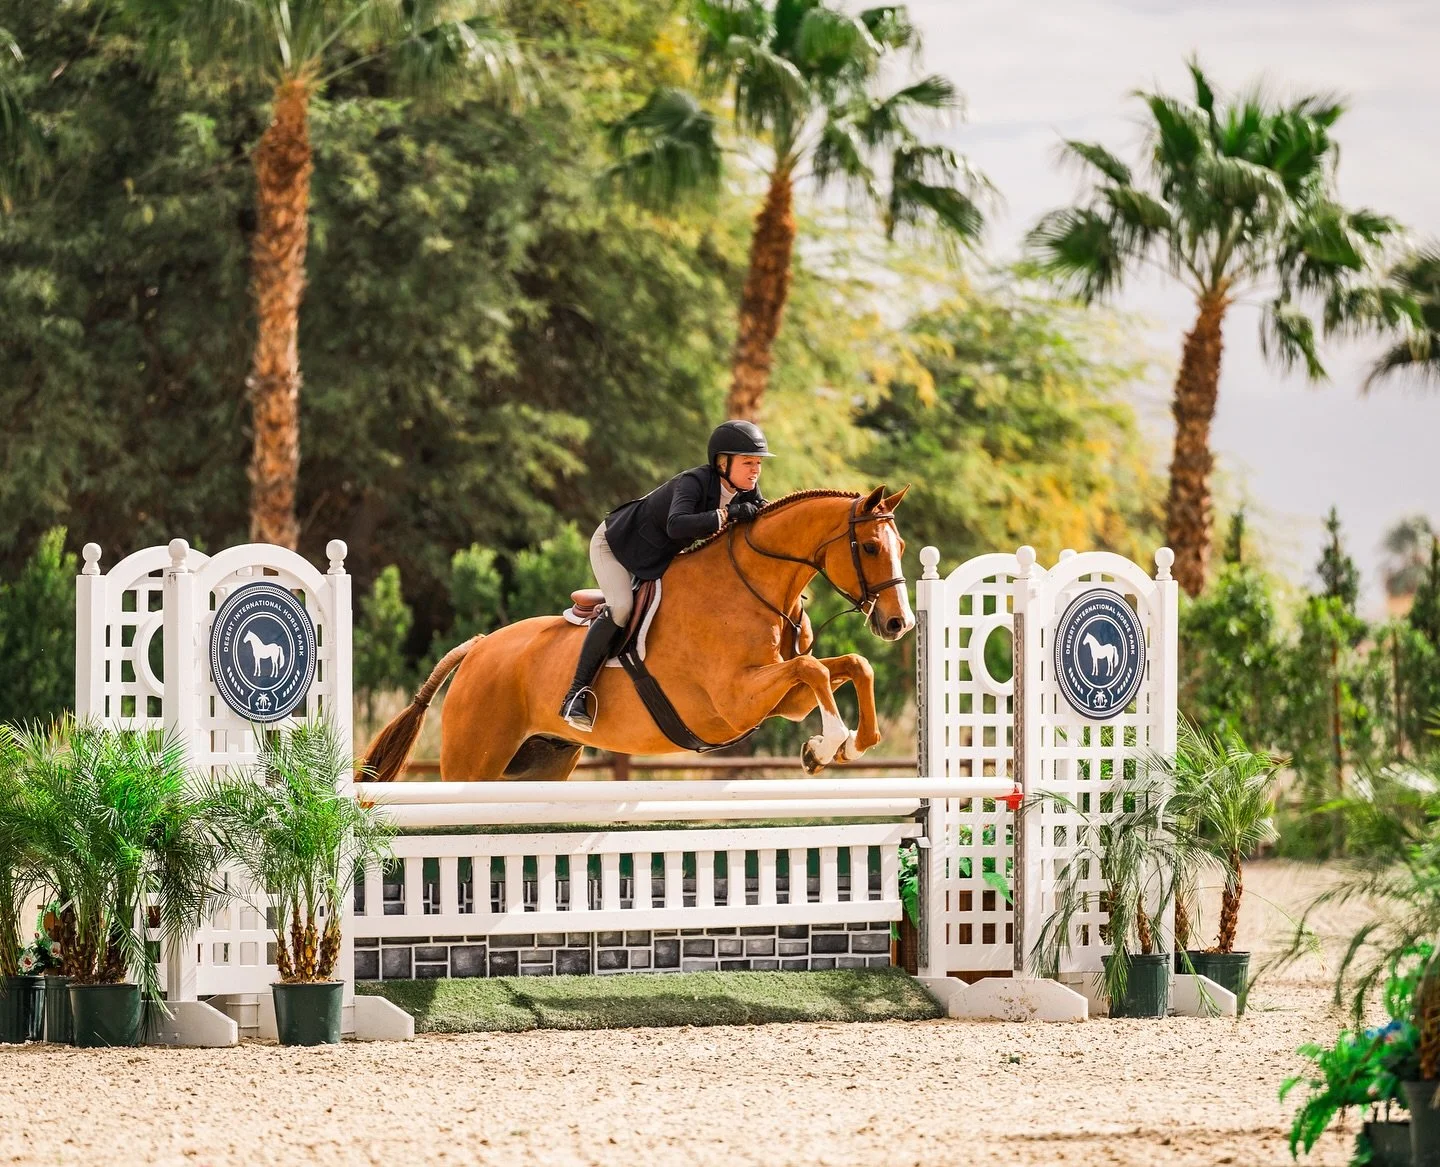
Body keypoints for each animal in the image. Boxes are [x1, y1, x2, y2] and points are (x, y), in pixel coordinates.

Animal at [363, 485, 914, 782]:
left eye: (902, 545)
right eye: (869, 547)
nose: (898, 623)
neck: (751, 585)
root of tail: (478, 649)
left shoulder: (781, 697)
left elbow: (848, 666)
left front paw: (850, 745)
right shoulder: (735, 699)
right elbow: (813, 667)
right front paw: (830, 743)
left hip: (539, 763)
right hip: (472, 763)